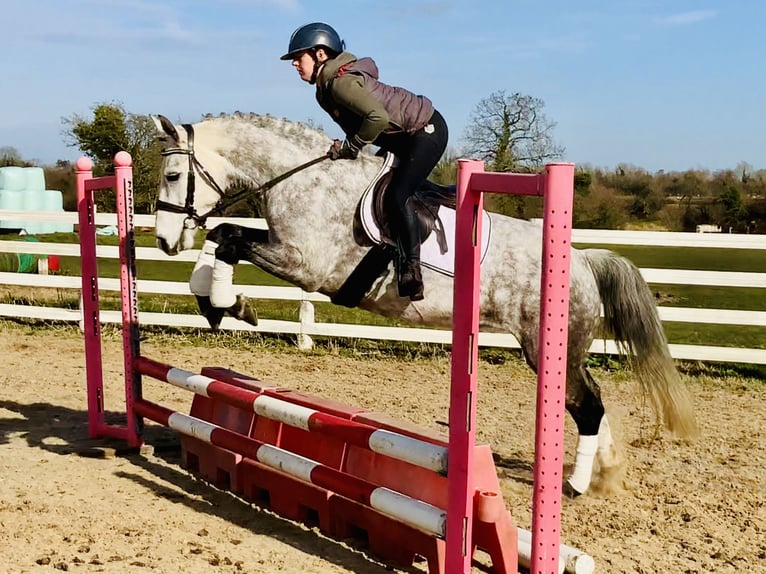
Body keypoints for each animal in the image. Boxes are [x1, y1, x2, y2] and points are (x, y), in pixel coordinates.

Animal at [152, 112, 704, 500]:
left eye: (174, 174)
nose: (162, 241)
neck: (302, 179)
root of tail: (583, 260)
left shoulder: (306, 264)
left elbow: (227, 238)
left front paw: (228, 303)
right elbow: (222, 238)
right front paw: (218, 302)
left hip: (548, 348)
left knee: (586, 405)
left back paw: (575, 485)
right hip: (565, 351)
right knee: (592, 401)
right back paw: (604, 474)